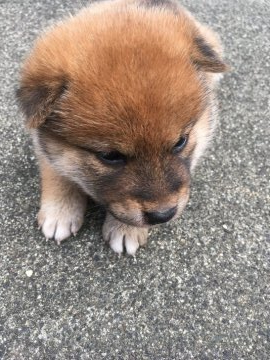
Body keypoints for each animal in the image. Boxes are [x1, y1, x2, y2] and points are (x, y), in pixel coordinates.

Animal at [16, 0, 228, 255]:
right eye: (110, 156)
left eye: (180, 142)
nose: (163, 214)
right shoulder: (42, 142)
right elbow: (56, 172)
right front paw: (60, 211)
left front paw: (126, 229)